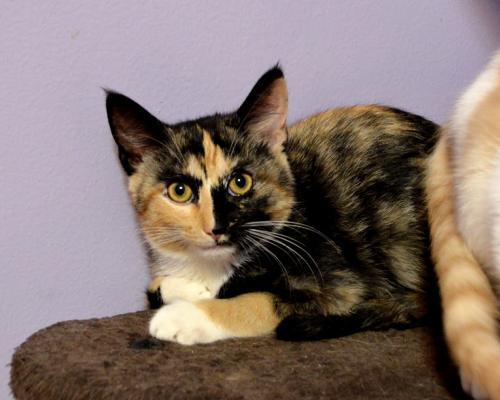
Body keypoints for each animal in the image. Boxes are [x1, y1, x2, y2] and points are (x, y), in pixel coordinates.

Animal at [106, 66, 440, 346]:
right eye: (179, 191)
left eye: (241, 182)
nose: (217, 227)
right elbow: (165, 286)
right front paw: (184, 289)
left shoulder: (340, 284)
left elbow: (259, 300)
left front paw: (184, 316)